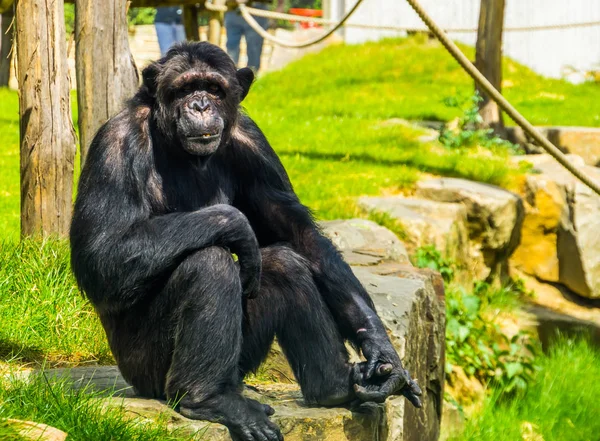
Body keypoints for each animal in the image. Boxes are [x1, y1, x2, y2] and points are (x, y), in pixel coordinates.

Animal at [71, 41, 422, 440]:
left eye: (214, 88)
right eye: (184, 88)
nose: (200, 105)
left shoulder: (255, 144)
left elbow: (299, 235)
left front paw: (381, 349)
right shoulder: (117, 144)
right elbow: (101, 253)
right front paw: (235, 224)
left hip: (241, 364)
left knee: (284, 264)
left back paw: (336, 388)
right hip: (143, 370)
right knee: (208, 264)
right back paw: (207, 399)